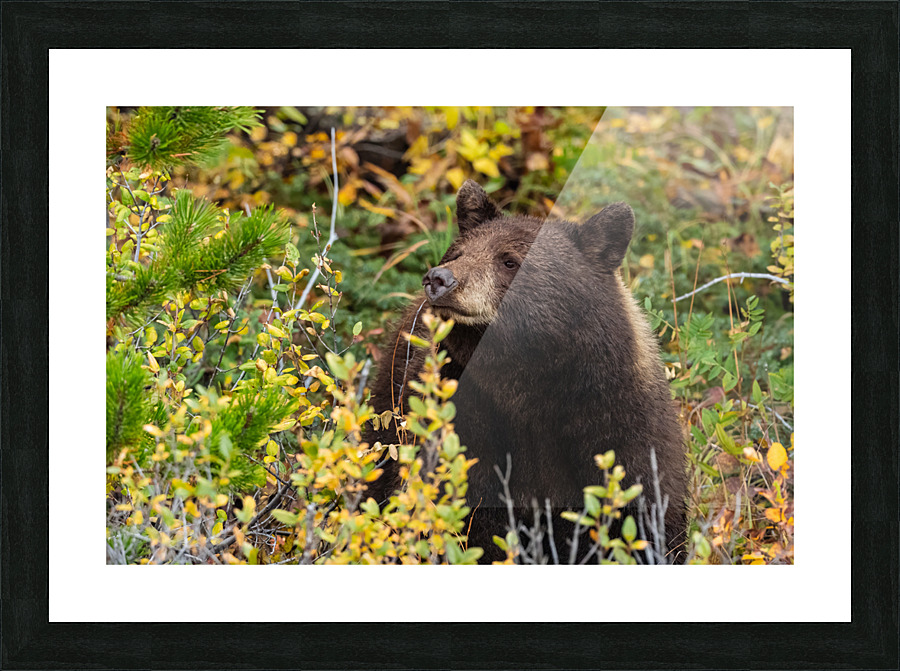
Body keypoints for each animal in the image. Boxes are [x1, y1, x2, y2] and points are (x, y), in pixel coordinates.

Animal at [363, 180, 687, 564]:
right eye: (457, 252)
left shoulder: (619, 423)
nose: (439, 279)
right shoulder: (464, 420)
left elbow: (644, 515)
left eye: (509, 260)